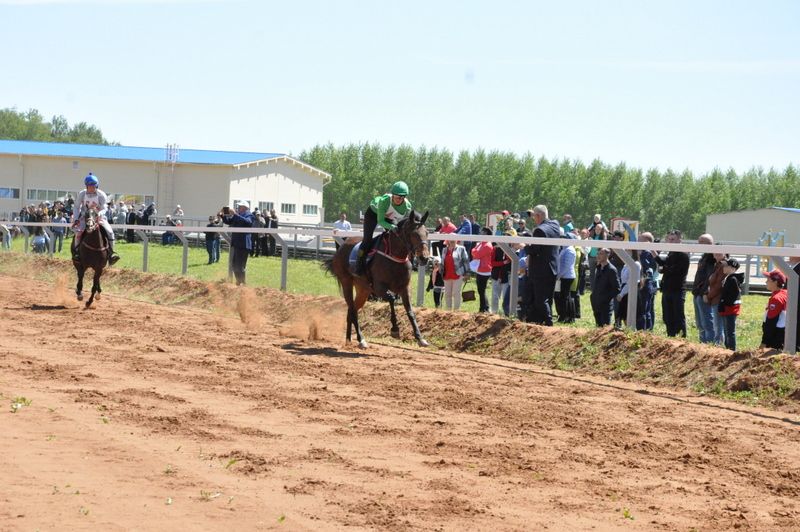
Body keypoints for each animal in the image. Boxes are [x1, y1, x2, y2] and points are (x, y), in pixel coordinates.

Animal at [324, 208, 428, 350]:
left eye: (427, 233)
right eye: (413, 234)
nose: (424, 258)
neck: (394, 256)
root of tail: (340, 248)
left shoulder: (405, 288)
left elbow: (410, 311)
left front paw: (420, 338)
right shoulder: (379, 288)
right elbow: (391, 299)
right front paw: (395, 329)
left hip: (363, 290)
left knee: (352, 310)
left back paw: (349, 340)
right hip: (347, 283)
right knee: (353, 310)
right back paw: (361, 340)